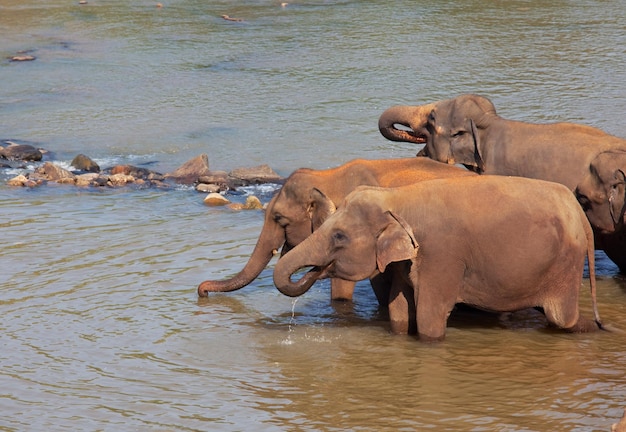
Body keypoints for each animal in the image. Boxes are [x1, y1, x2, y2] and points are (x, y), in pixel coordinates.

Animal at [270, 176, 604, 340]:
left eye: (339, 236)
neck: (397, 196)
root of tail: (580, 214)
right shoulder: (407, 261)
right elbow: (399, 311)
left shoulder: (441, 256)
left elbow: (429, 318)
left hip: (566, 263)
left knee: (561, 318)